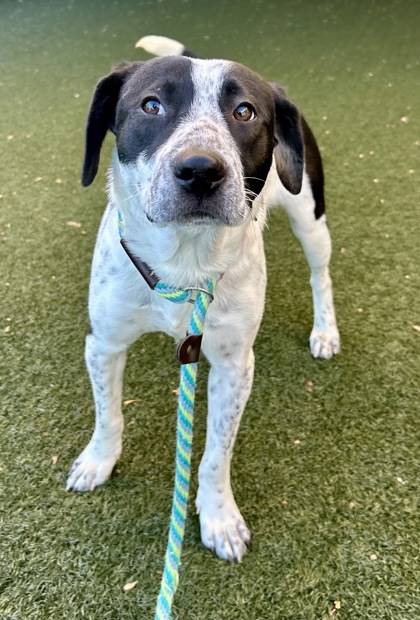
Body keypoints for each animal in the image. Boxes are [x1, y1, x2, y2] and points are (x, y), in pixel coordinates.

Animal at [67, 36, 340, 564]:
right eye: (151, 105)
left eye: (245, 111)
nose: (199, 170)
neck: (184, 265)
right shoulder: (104, 342)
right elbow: (109, 412)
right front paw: (98, 461)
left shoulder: (234, 366)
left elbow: (216, 453)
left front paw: (219, 518)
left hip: (310, 215)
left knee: (321, 274)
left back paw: (325, 331)